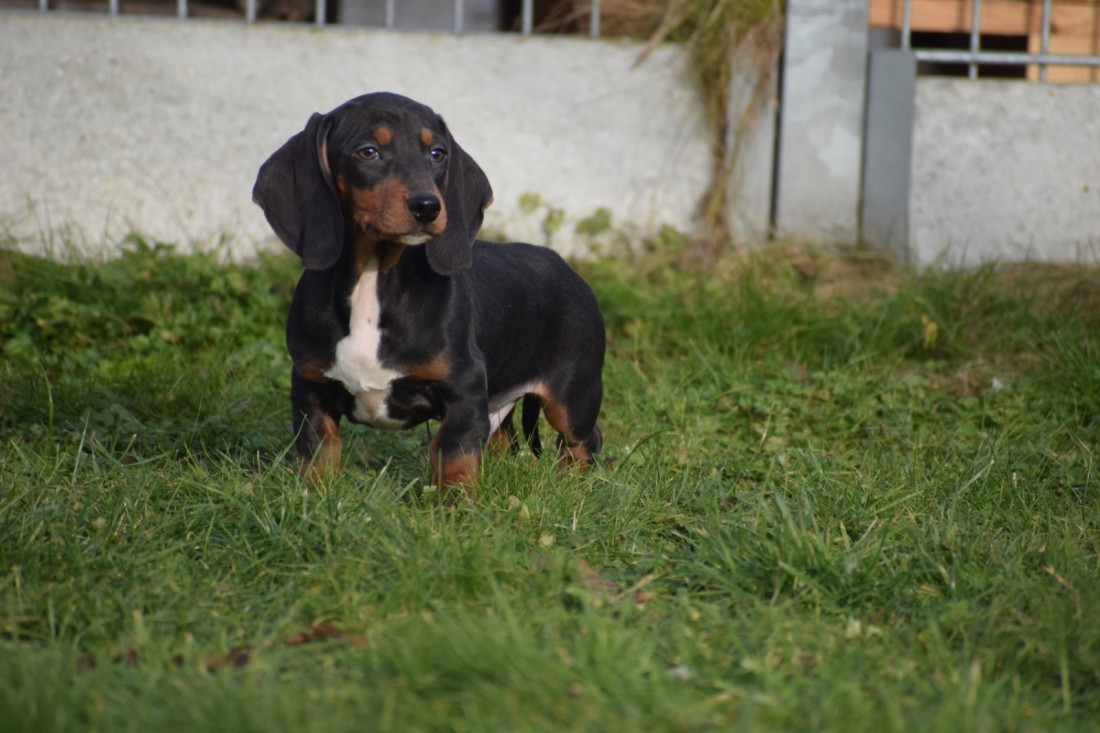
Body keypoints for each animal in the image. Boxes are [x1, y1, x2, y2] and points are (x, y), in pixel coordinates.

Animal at [252, 92, 605, 494]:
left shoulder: (464, 390)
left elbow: (454, 456)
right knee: (504, 438)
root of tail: (567, 267)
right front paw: (315, 496)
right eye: (368, 151)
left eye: (437, 153)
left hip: (573, 394)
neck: (374, 280)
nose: (428, 206)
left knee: (583, 441)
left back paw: (573, 488)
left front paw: (455, 505)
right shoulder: (310, 388)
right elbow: (317, 450)